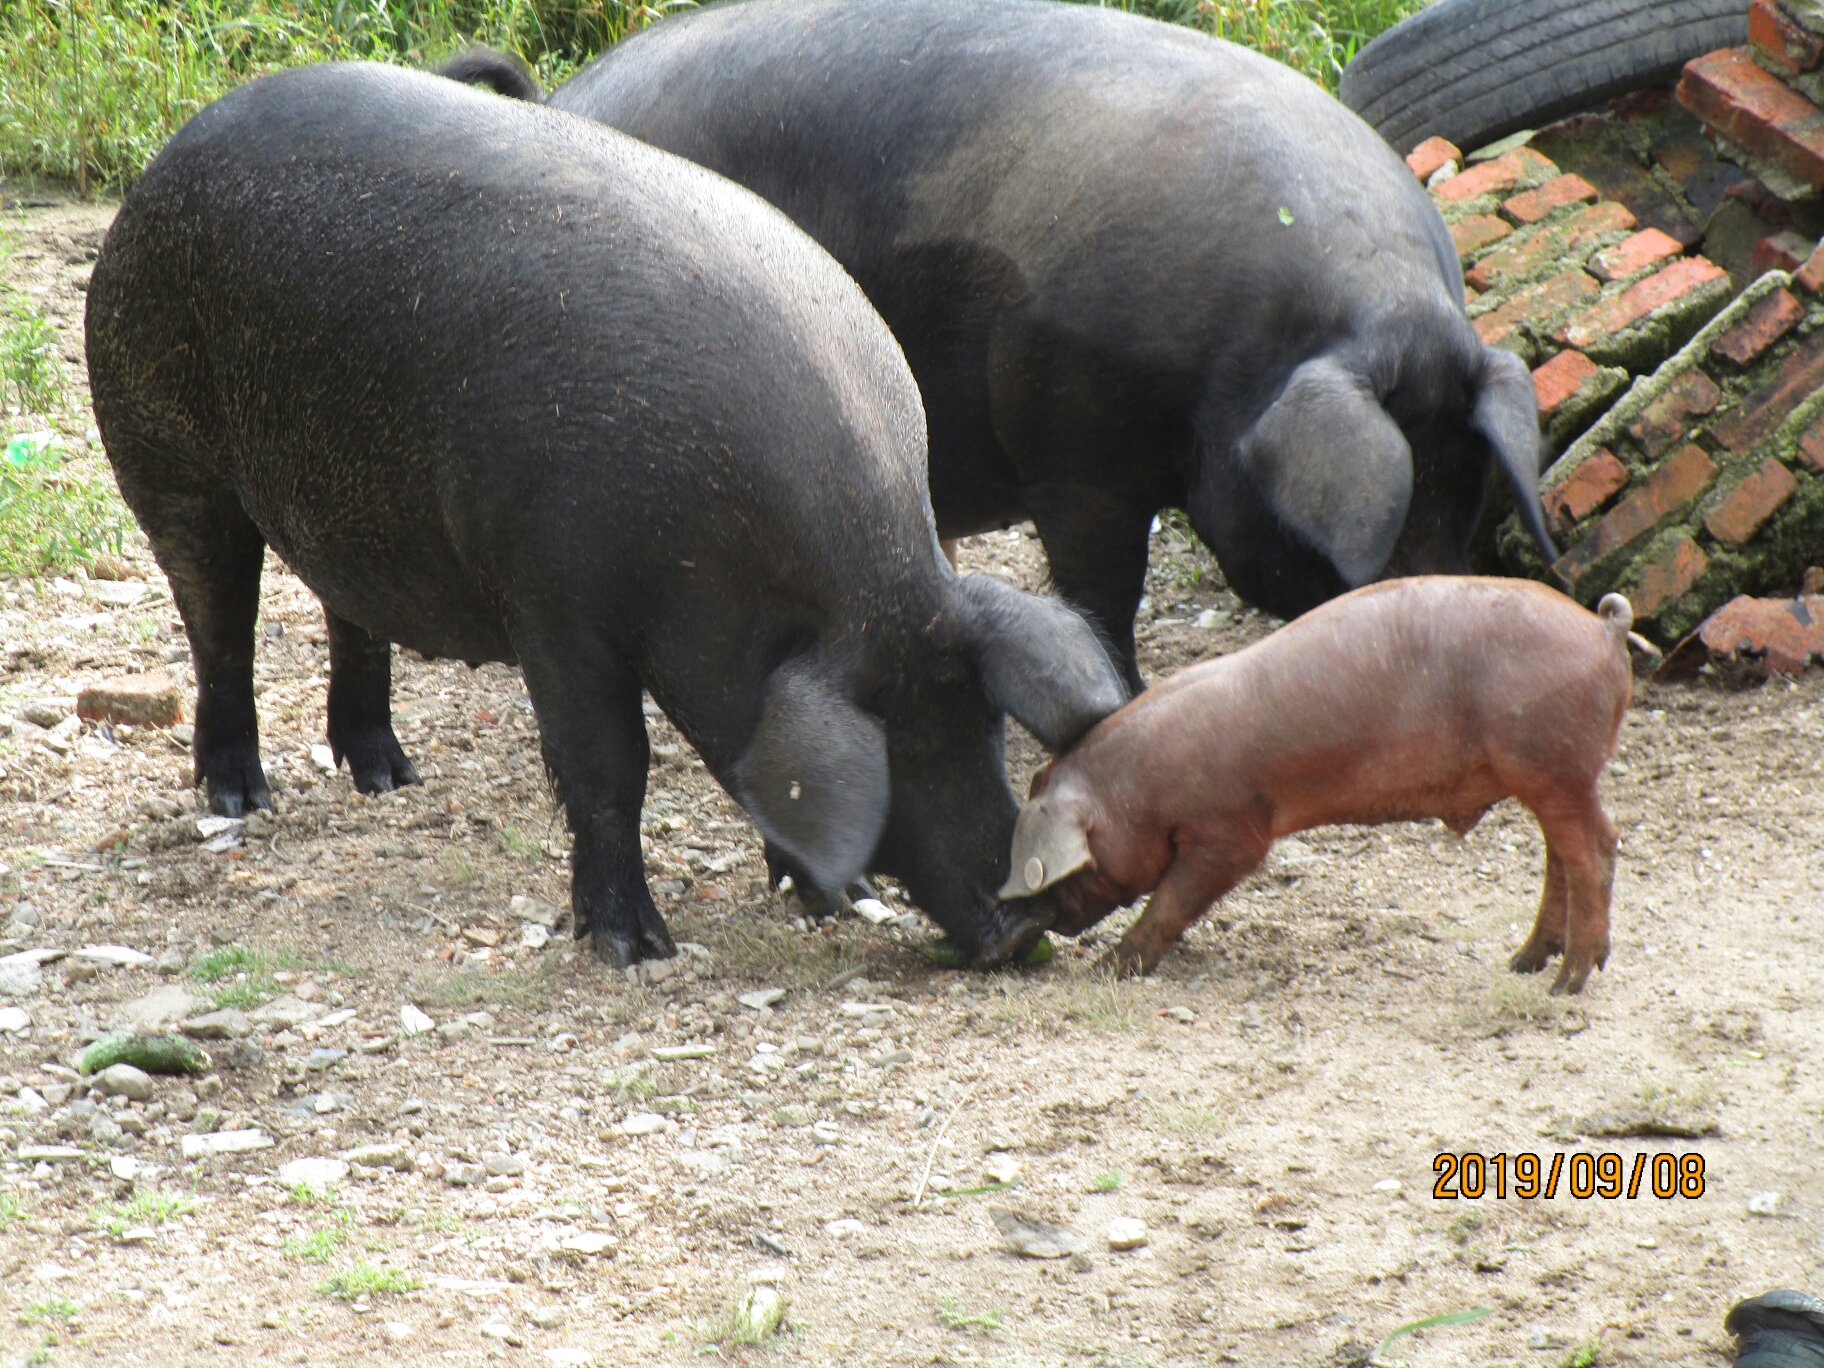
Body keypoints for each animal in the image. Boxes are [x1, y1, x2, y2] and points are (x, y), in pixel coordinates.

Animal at [92, 61, 1130, 963]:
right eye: (896, 747)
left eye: (986, 726)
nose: (1029, 921)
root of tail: (175, 153)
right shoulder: (552, 599)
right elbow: (608, 765)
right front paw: (633, 950)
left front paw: (834, 902)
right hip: (162, 444)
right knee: (218, 622)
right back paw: (241, 799)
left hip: (339, 504)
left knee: (348, 615)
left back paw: (389, 777)